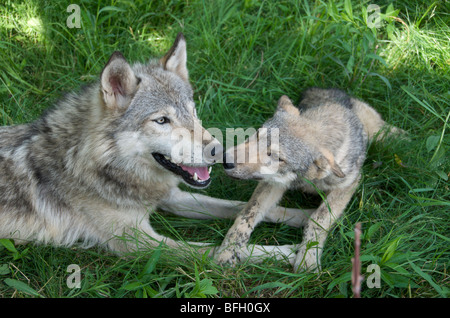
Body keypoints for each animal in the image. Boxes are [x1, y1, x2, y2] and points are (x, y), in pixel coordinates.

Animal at [0, 33, 302, 253]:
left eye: (192, 112)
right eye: (161, 120)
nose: (220, 153)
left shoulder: (172, 196)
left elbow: (241, 207)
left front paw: (307, 217)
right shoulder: (141, 243)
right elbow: (219, 251)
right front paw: (291, 252)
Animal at [216, 87, 402, 270]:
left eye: (277, 157)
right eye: (256, 135)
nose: (226, 160)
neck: (305, 181)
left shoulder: (348, 185)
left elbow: (319, 219)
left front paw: (308, 258)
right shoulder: (273, 183)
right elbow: (247, 214)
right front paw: (227, 250)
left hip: (378, 132)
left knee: (391, 133)